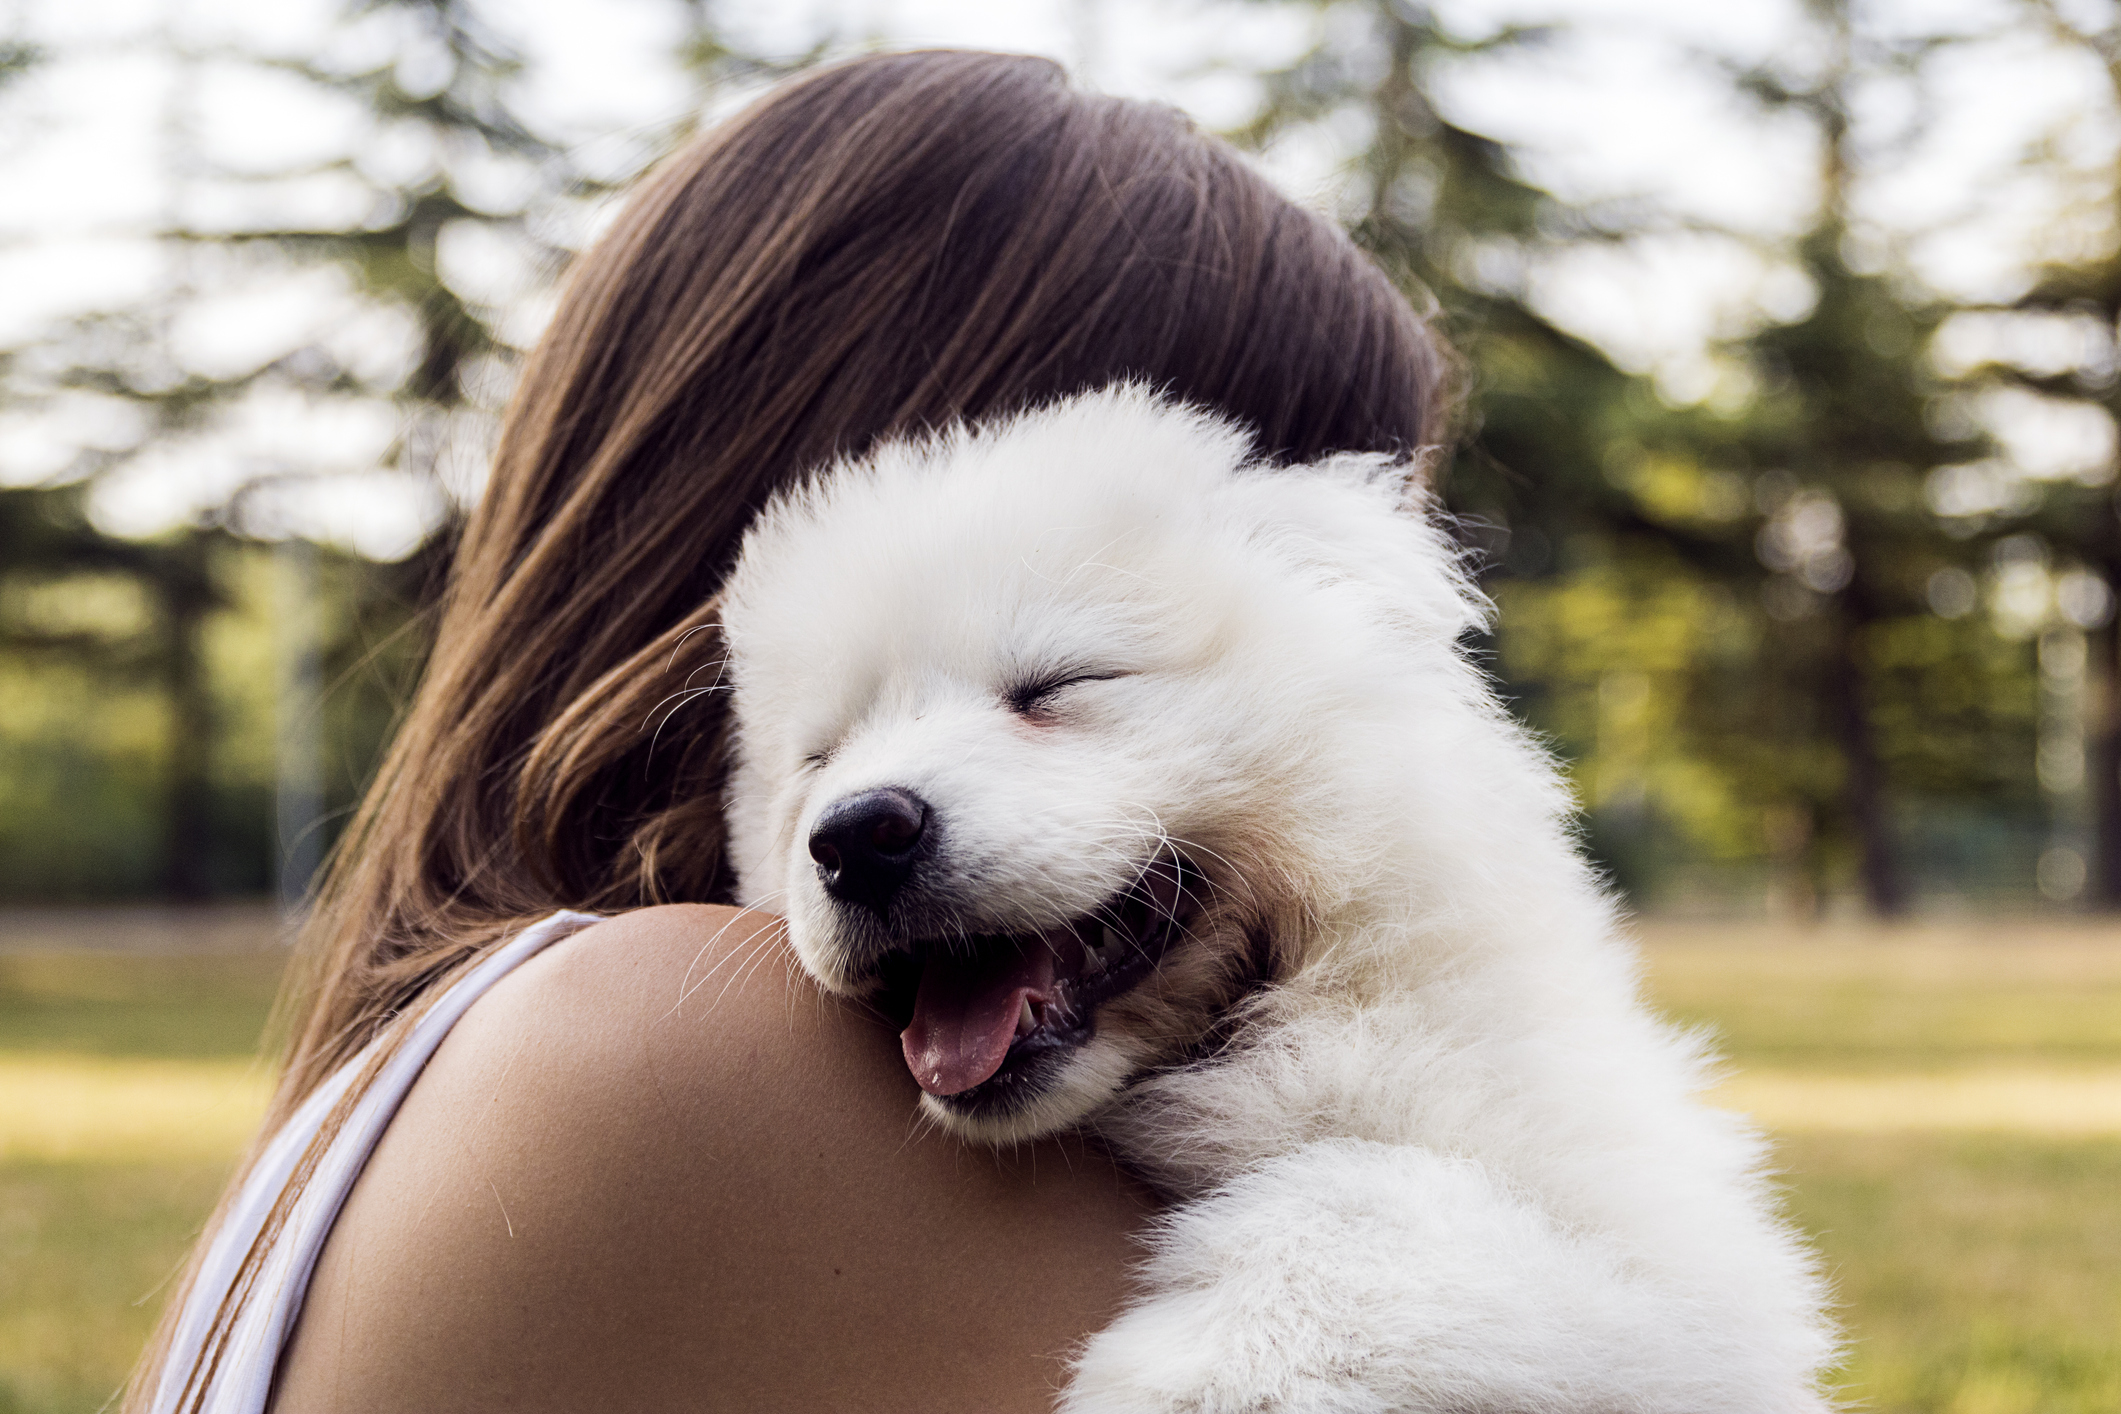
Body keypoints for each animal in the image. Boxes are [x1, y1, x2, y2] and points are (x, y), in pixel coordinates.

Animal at [721, 387, 1832, 1414]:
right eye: (818, 758)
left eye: (1057, 684)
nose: (857, 835)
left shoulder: (1672, 1269)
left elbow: (1366, 1185)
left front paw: (1198, 1375)